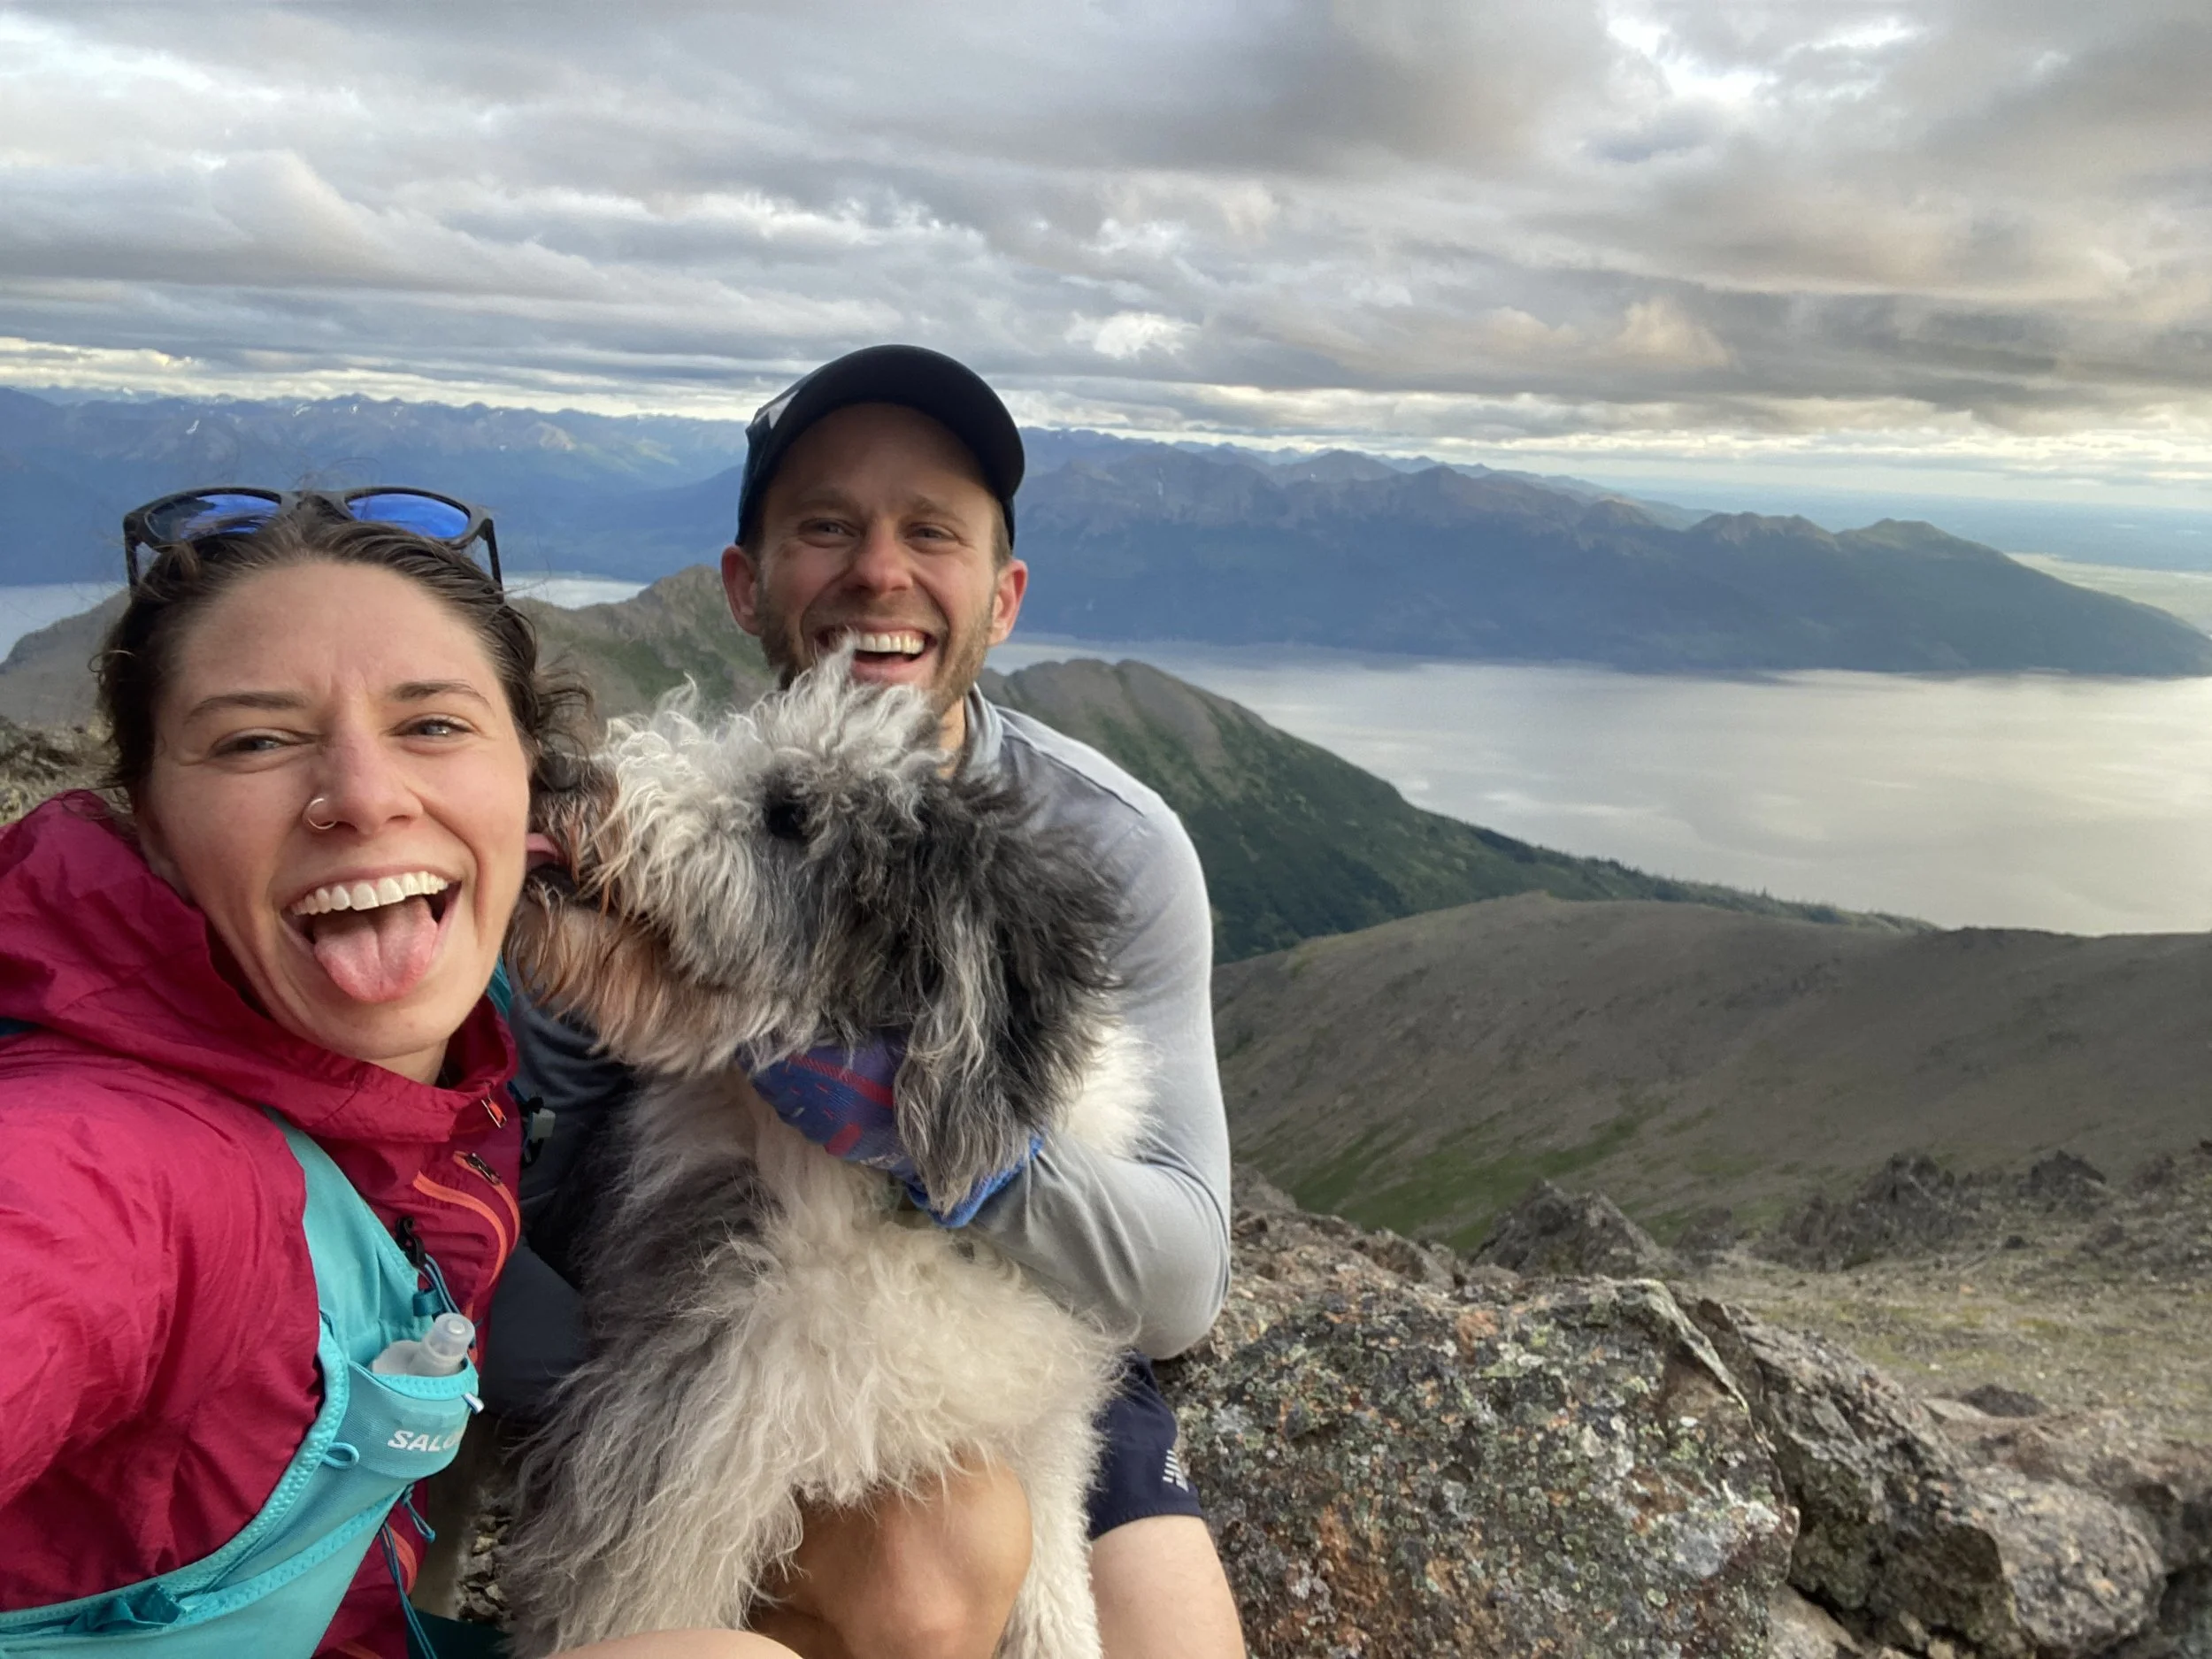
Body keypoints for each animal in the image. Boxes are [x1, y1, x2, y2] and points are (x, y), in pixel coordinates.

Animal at [499, 654, 1144, 1658]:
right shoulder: (678, 1448)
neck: (868, 1197)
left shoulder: (1033, 1414)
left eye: (791, 815)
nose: (560, 772)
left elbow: (1052, 1559)